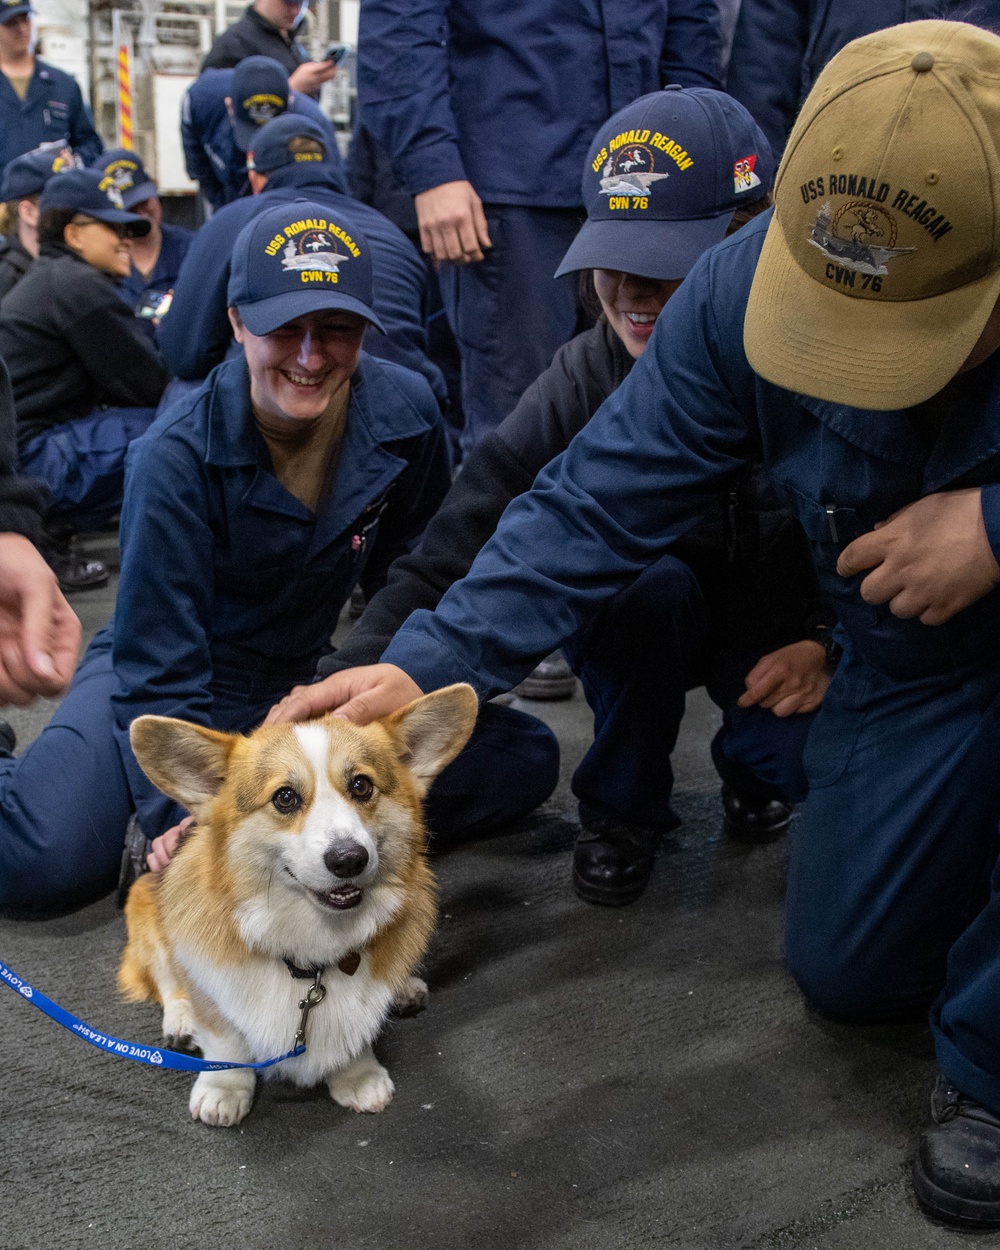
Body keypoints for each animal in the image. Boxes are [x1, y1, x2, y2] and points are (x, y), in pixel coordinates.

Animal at [117, 685, 477, 1135]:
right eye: (285, 797)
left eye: (361, 786)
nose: (349, 859)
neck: (311, 948)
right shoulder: (209, 980)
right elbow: (225, 1039)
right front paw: (223, 1089)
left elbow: (354, 1030)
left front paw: (357, 1076)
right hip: (150, 910)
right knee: (169, 978)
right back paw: (181, 1019)